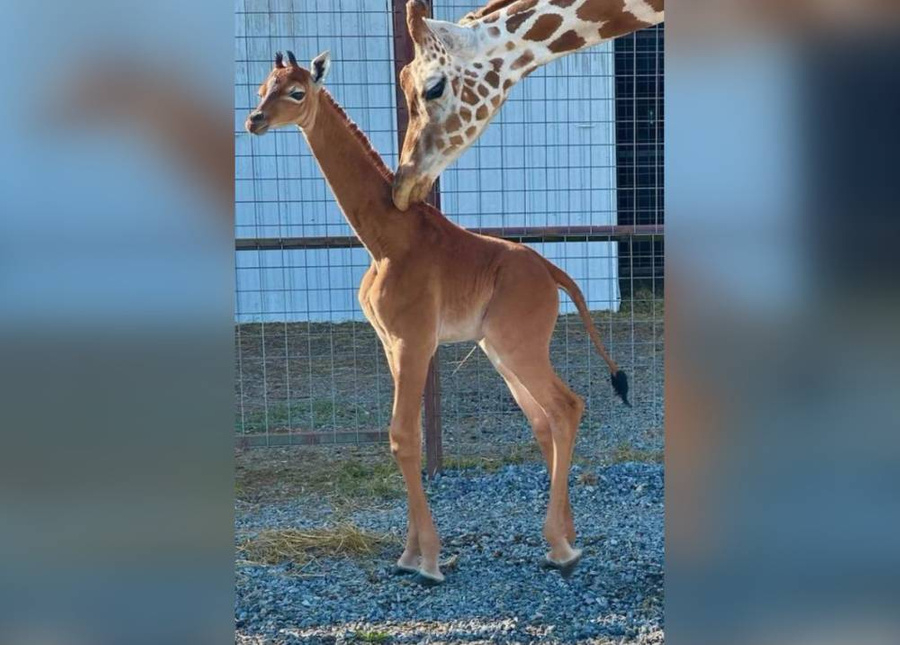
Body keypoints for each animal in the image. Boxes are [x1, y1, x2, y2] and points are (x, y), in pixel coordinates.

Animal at [246, 50, 630, 584]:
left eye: (297, 92)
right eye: (262, 87)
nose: (254, 120)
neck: (385, 239)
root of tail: (553, 272)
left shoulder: (414, 340)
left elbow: (403, 436)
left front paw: (426, 560)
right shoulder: (391, 343)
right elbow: (407, 437)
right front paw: (409, 554)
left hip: (519, 345)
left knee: (566, 406)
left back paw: (560, 547)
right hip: (499, 350)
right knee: (543, 418)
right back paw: (568, 537)